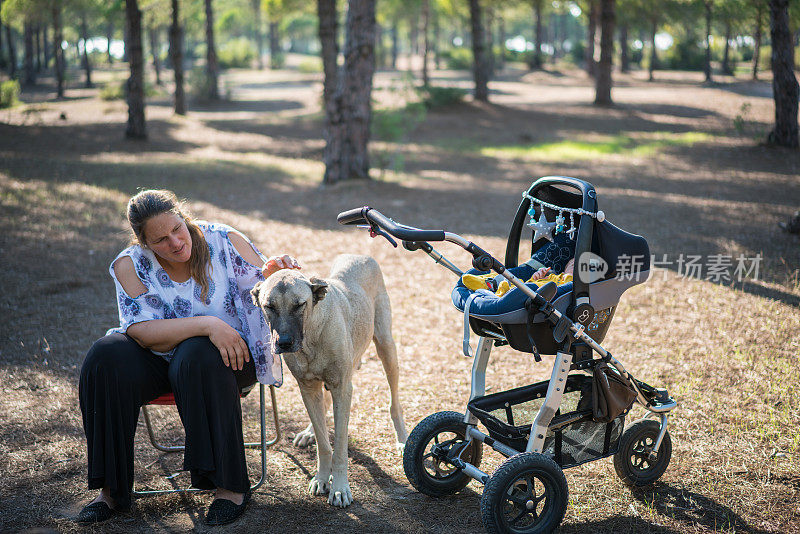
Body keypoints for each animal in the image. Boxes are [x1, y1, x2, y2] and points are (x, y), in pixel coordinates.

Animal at [252, 258, 406, 508]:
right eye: (269, 306)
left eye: (300, 305)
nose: (284, 342)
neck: (312, 337)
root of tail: (361, 255)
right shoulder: (308, 388)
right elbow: (324, 443)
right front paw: (323, 478)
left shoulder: (342, 389)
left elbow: (340, 447)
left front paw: (340, 488)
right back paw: (308, 432)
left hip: (386, 347)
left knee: (395, 402)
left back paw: (402, 439)